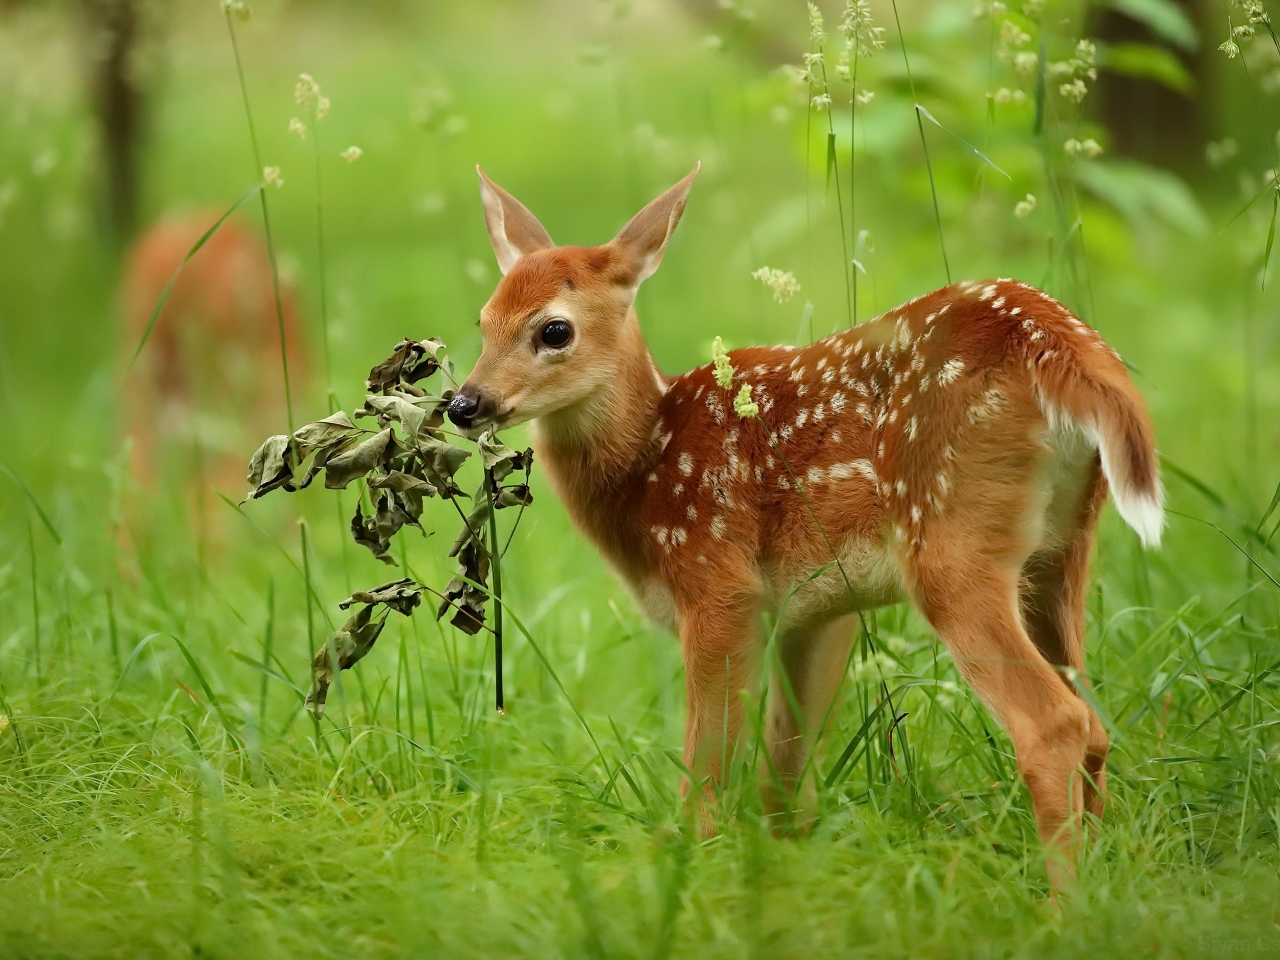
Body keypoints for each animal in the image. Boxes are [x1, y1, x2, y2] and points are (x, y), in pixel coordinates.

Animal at [448, 163, 1162, 885]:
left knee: (1055, 724)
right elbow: (784, 773)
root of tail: (1057, 342)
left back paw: (1061, 900)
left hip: (950, 540)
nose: (464, 403)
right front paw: (785, 870)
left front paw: (686, 867)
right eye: (483, 320)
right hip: (1061, 547)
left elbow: (709, 768)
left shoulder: (719, 581)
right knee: (1095, 721)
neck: (648, 462)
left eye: (553, 330)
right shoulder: (815, 609)